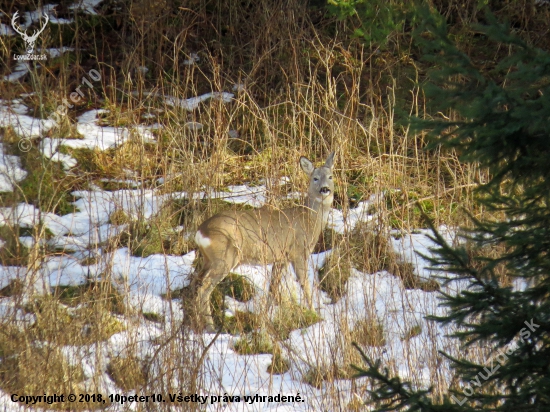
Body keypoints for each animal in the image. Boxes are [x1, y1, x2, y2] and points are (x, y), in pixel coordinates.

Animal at [192, 152, 338, 332]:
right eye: (315, 178)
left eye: (331, 176)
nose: (325, 189)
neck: (309, 221)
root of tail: (201, 232)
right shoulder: (298, 251)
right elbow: (305, 284)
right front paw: (314, 314)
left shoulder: (281, 258)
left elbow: (273, 289)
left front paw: (264, 320)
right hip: (224, 257)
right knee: (204, 288)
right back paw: (210, 327)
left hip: (208, 259)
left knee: (196, 283)